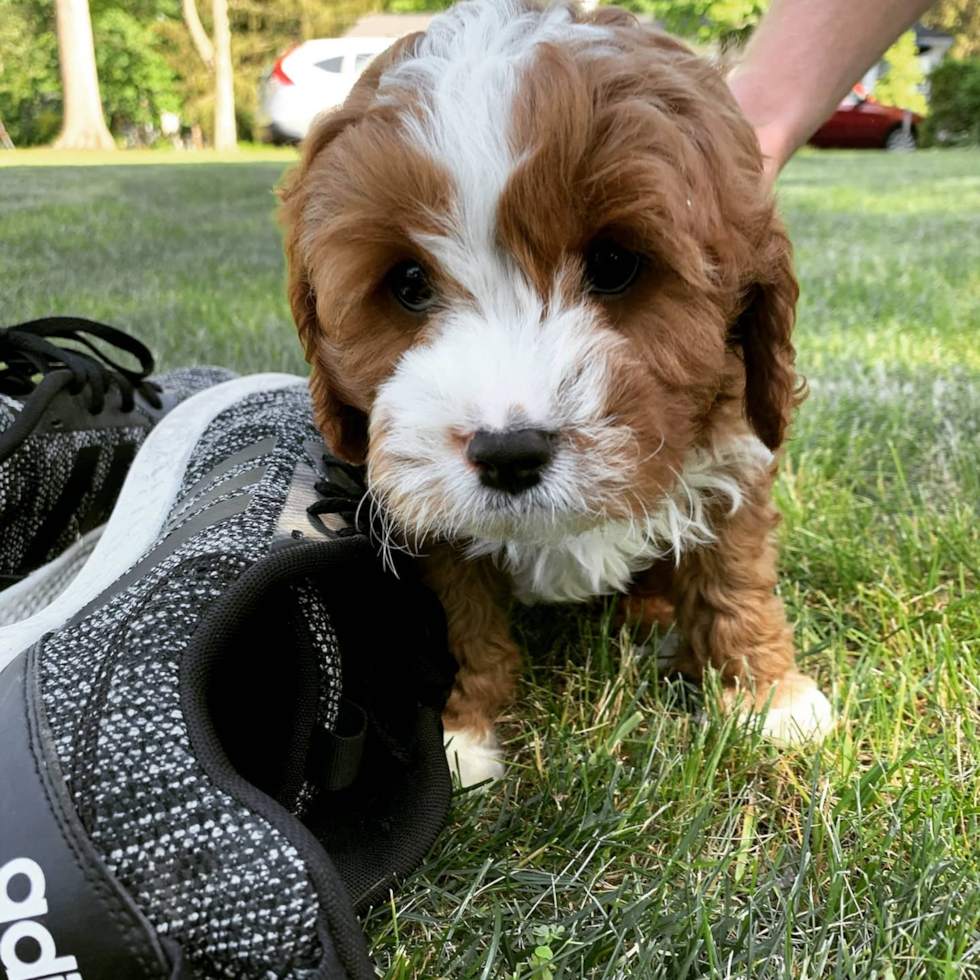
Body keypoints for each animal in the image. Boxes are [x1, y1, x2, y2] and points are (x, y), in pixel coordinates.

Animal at [278, 0, 836, 784]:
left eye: (615, 263)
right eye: (409, 283)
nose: (508, 453)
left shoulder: (735, 450)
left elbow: (734, 574)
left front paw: (771, 698)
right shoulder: (436, 528)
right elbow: (466, 622)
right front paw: (467, 732)